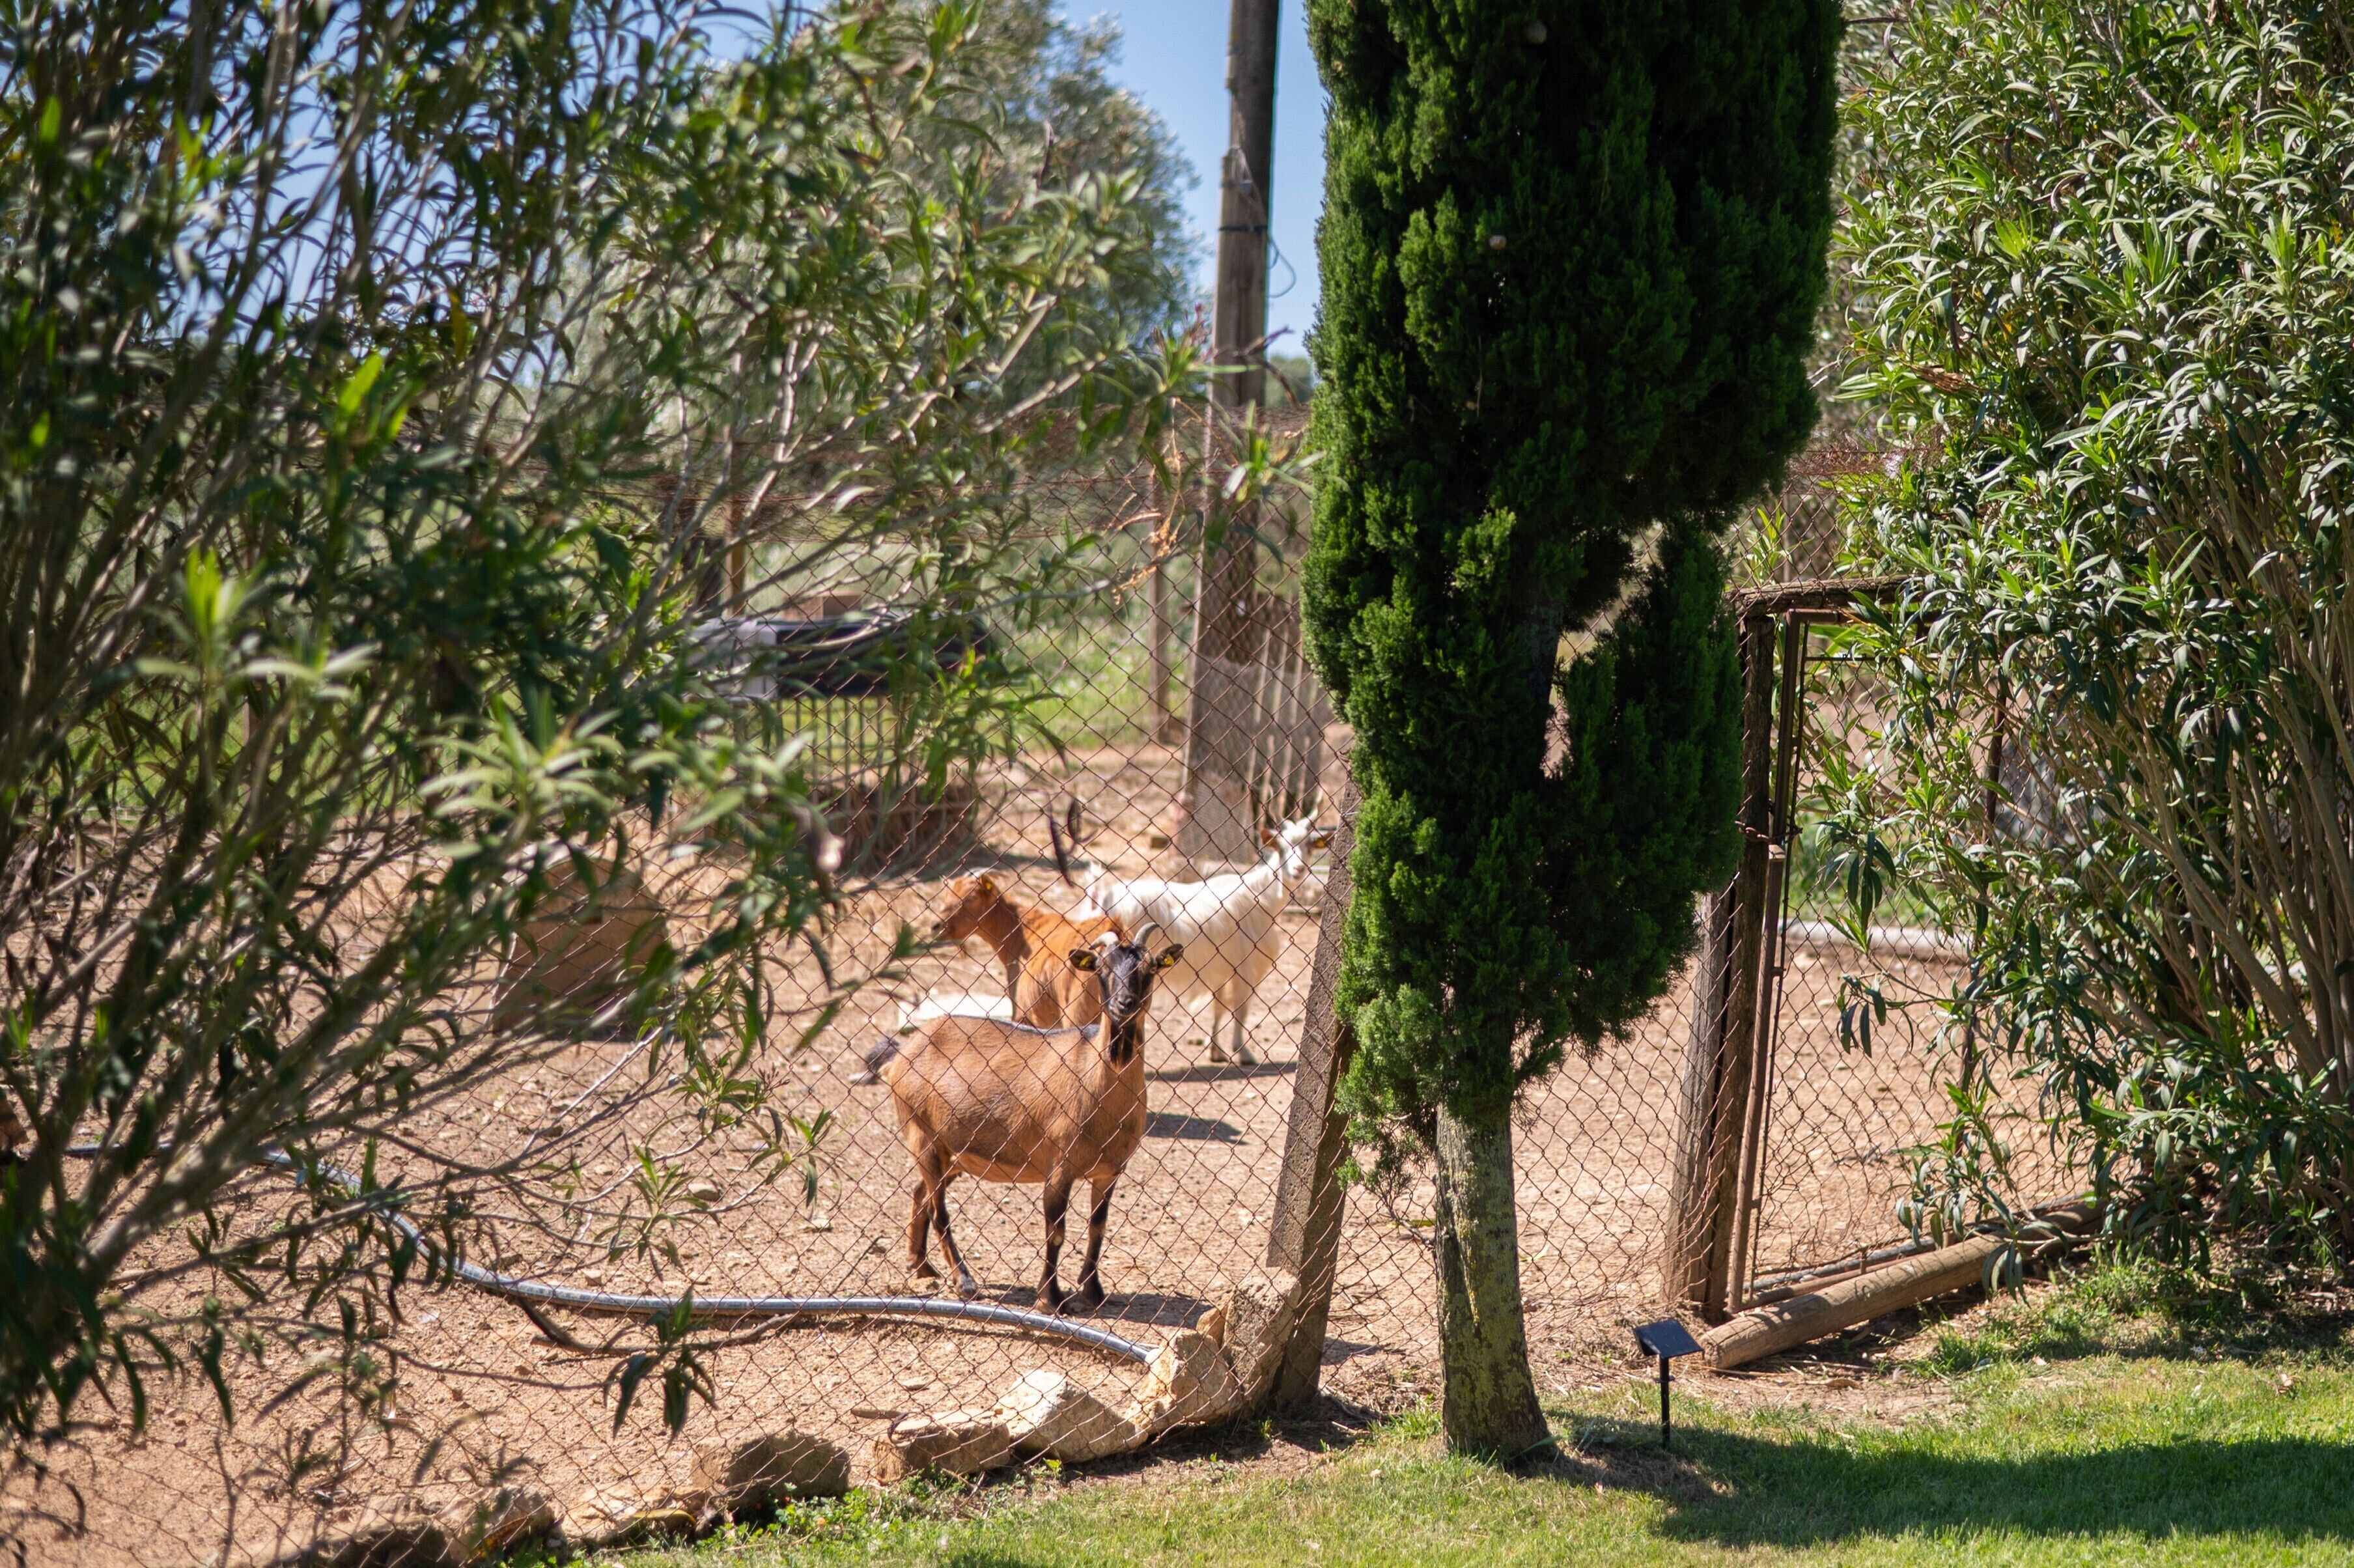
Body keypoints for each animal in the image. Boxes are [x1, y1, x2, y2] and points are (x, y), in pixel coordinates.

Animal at [865, 927, 1182, 1312]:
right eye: (1102, 968)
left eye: (1150, 967)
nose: (1125, 1004)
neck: (1095, 1077)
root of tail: (902, 1053)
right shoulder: (1059, 1166)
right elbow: (1056, 1231)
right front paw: (1051, 1298)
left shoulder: (1109, 1171)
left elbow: (1098, 1228)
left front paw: (1094, 1292)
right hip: (920, 1134)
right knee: (939, 1210)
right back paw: (964, 1282)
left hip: (952, 1152)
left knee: (920, 1193)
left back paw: (920, 1265)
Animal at [930, 873, 1125, 1028]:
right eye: (945, 896)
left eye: (971, 898)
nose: (935, 926)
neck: (1022, 932)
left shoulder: (1023, 1014)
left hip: (1077, 1014)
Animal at [1055, 812, 1331, 1066]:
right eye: (1281, 847)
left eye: (1309, 845)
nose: (1298, 870)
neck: (1261, 896)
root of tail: (1100, 895)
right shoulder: (1245, 966)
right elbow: (1240, 1009)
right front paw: (1243, 1052)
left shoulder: (1223, 969)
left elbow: (1219, 1007)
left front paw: (1216, 1051)